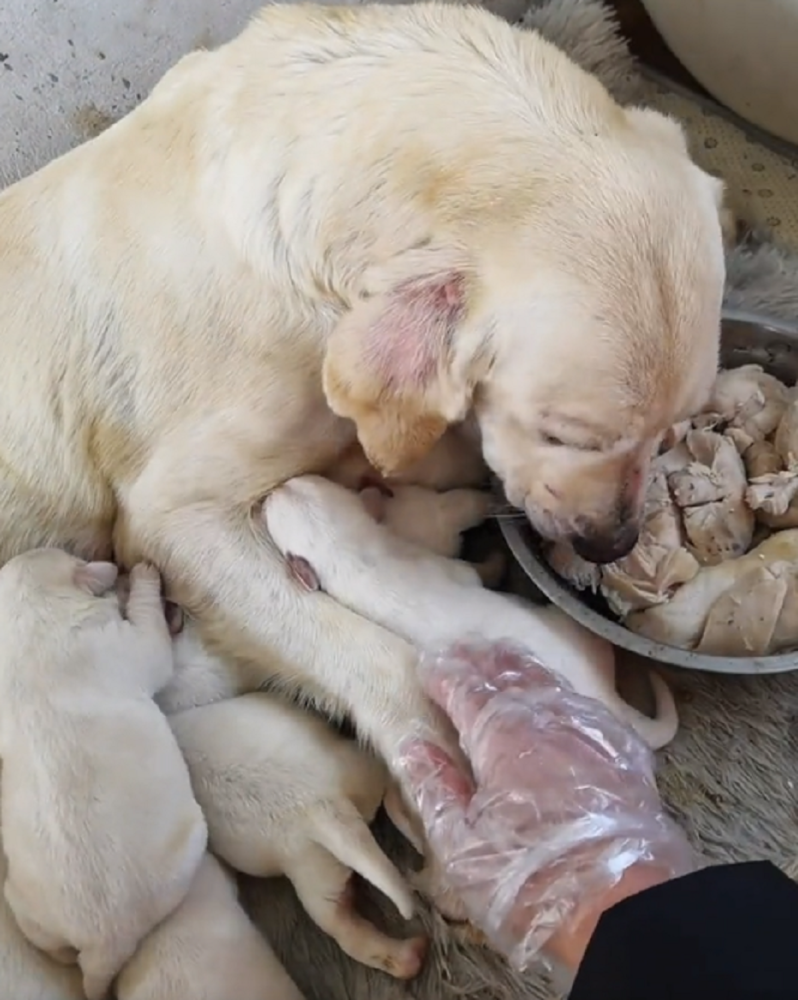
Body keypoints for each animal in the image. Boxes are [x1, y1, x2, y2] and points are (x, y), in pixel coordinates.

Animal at [0, 548, 209, 1000]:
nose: (122, 568)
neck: (28, 626)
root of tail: (104, 943)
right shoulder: (132, 645)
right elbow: (151, 632)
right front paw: (145, 576)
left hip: (25, 909)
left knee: (55, 948)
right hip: (188, 849)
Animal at [266, 476, 680, 752]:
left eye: (304, 483)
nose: (272, 490)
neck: (351, 554)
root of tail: (606, 698)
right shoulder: (448, 567)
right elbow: (475, 571)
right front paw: (495, 560)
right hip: (569, 625)